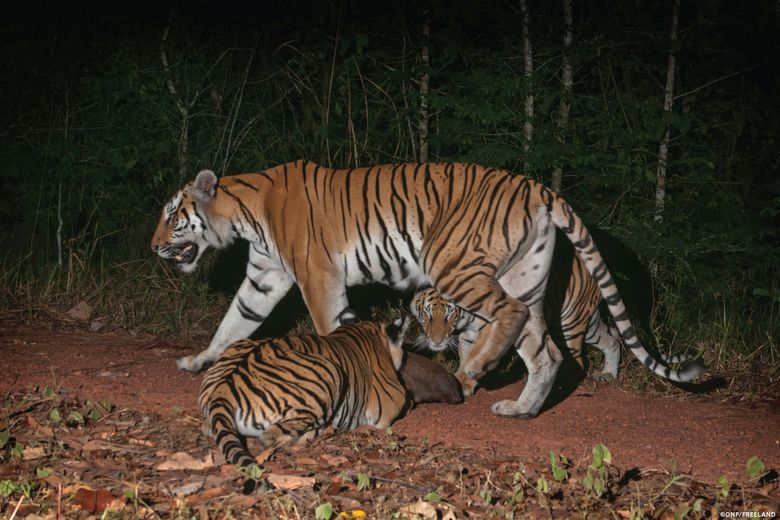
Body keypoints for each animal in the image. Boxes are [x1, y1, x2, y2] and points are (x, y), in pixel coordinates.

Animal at [152, 161, 708, 418]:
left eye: (172, 215)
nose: (154, 246)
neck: (244, 214)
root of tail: (539, 187)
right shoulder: (265, 277)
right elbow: (233, 323)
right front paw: (198, 361)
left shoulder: (316, 277)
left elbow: (330, 328)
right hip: (525, 278)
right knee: (545, 350)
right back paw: (520, 408)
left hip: (455, 264)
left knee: (509, 318)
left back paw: (473, 368)